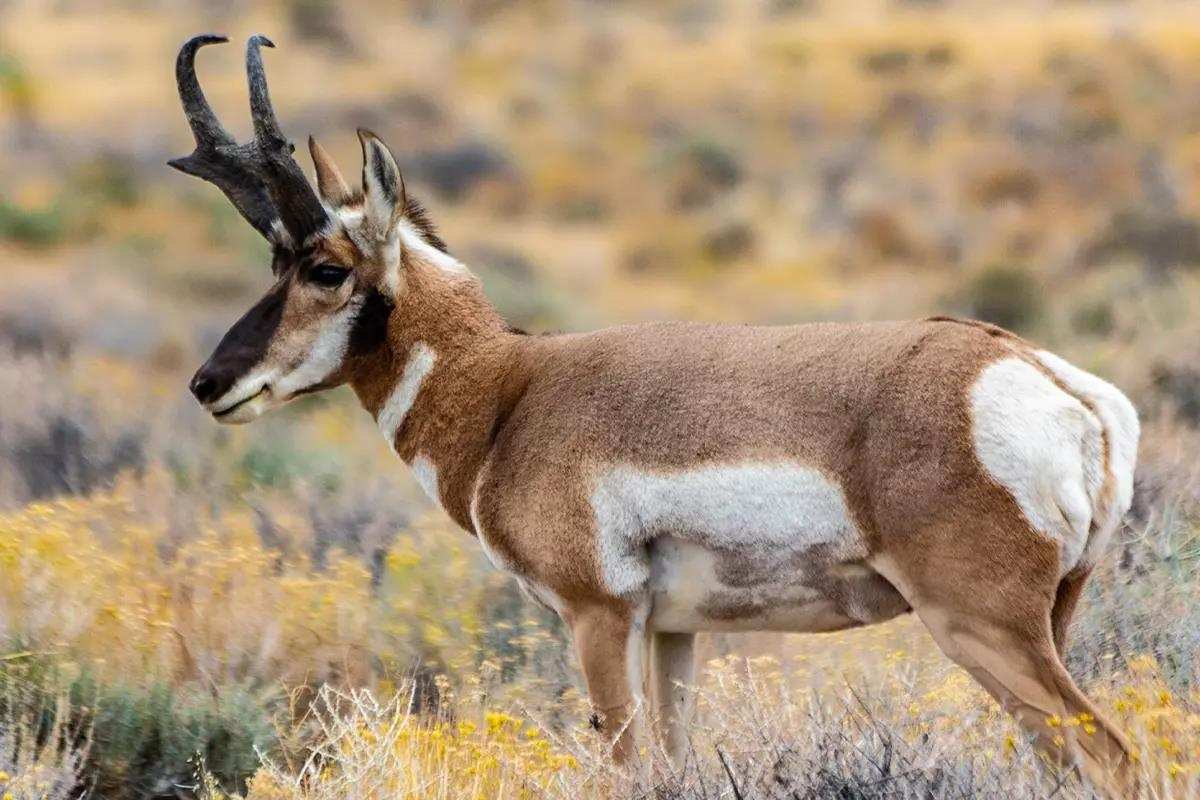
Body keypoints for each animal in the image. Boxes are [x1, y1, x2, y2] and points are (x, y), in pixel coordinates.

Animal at [174, 35, 1140, 794]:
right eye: (273, 260)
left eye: (326, 269)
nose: (209, 383)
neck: (511, 391)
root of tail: (1051, 381)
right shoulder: (675, 631)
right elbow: (673, 765)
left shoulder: (597, 617)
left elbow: (625, 769)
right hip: (1044, 623)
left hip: (979, 625)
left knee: (1110, 756)